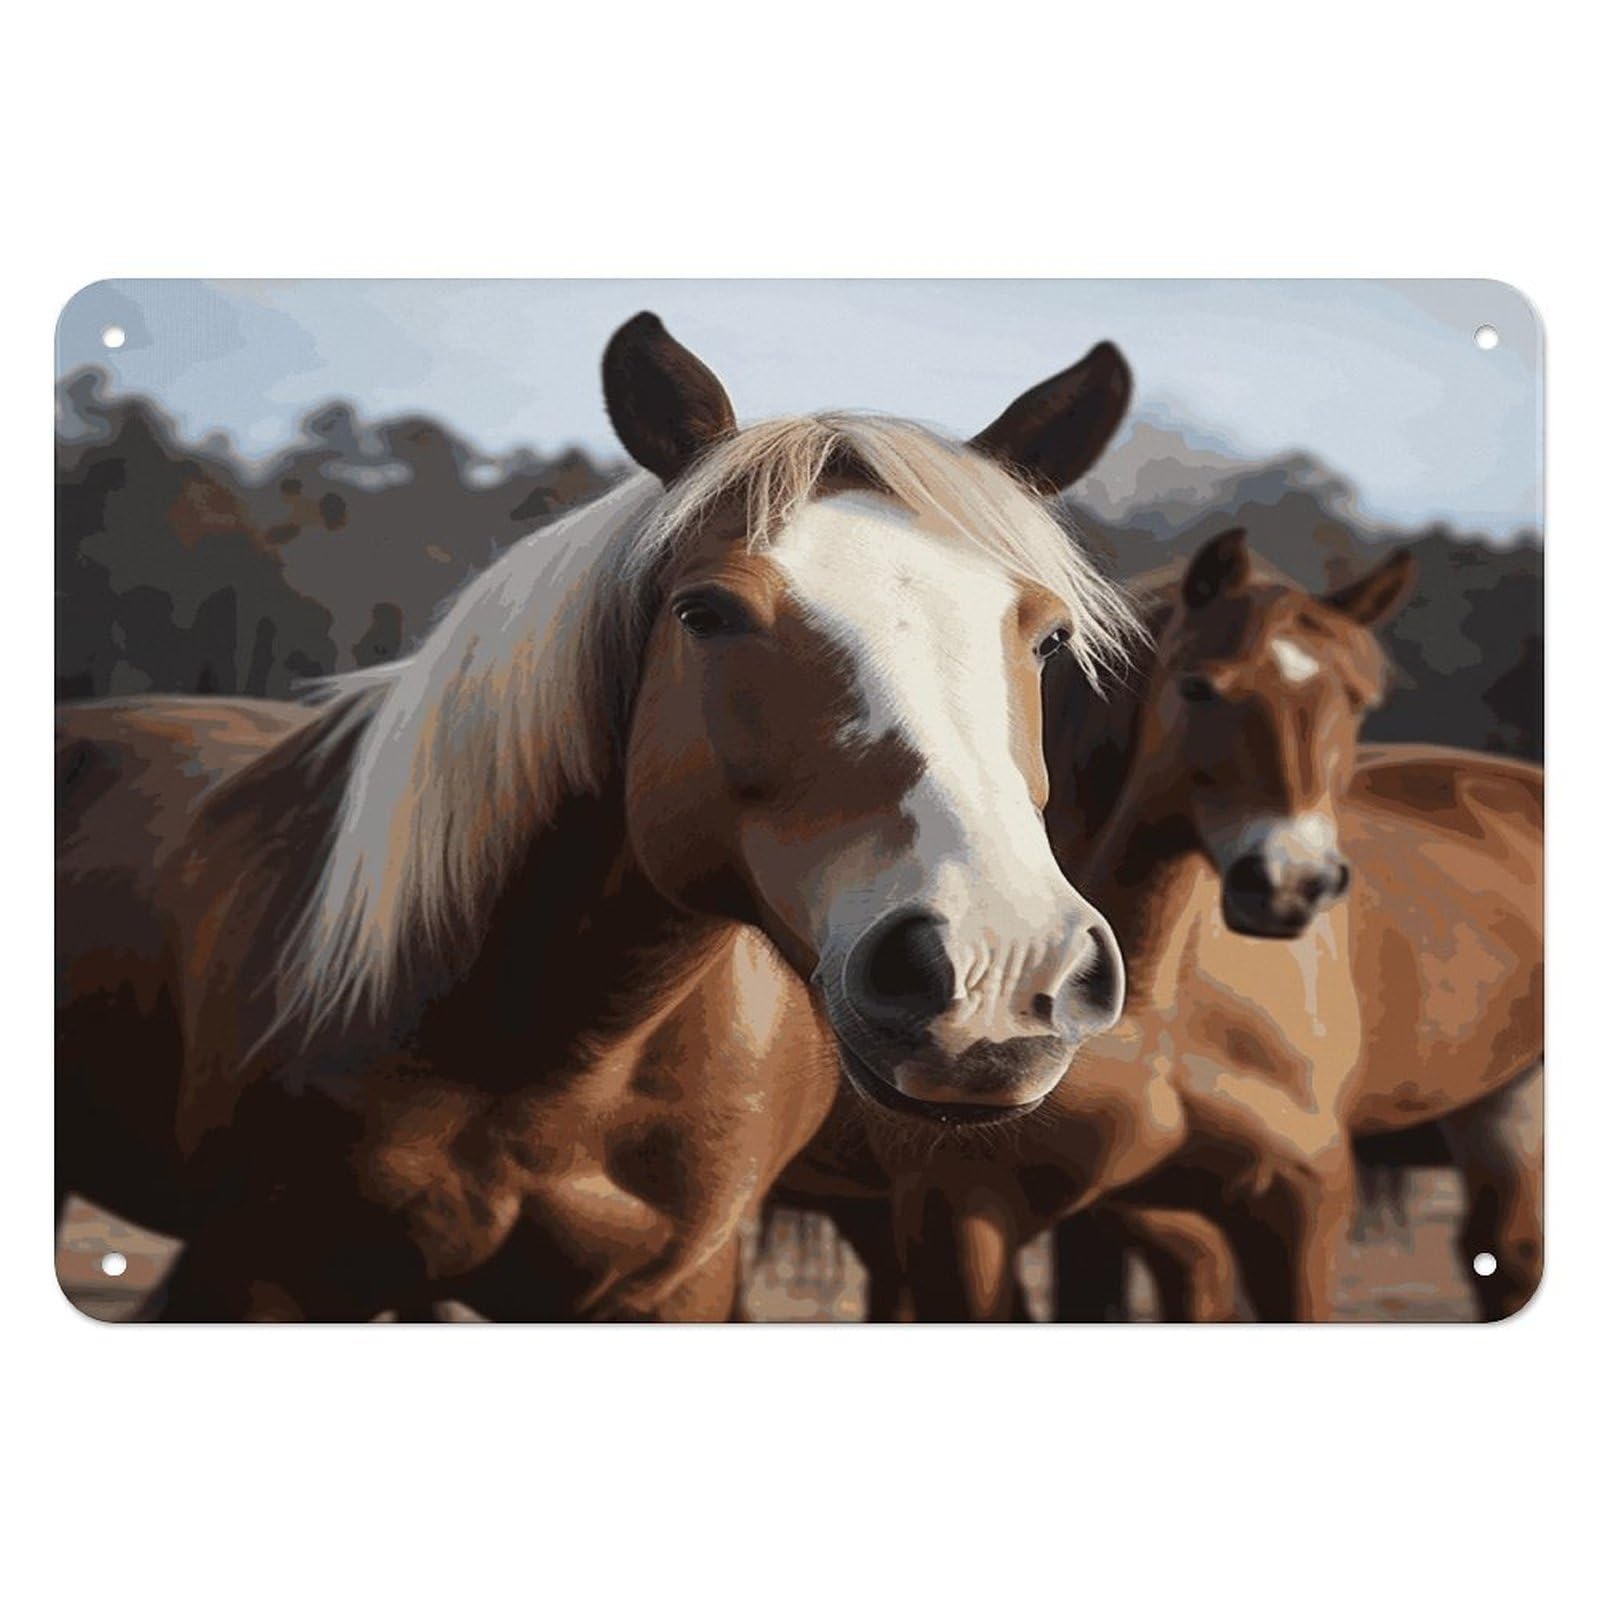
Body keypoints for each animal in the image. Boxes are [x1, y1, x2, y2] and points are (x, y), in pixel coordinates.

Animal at [56, 311, 1139, 1320]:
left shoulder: (673, 1288)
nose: (999, 966)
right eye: (706, 613)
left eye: (1046, 637)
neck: (557, 1053)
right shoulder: (256, 1277)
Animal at [775, 528, 1532, 1321]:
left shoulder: (1297, 1194)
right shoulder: (960, 1211)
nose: (1291, 885)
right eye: (1199, 687)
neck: (1163, 1002)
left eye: (1356, 702)